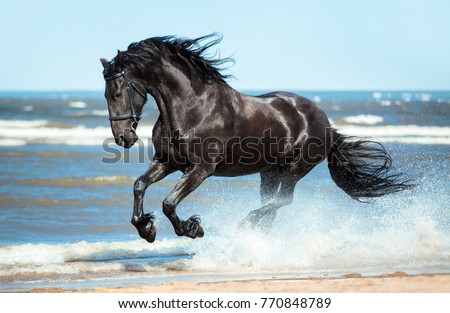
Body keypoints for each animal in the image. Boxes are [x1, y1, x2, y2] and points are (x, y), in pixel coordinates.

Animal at [100, 34, 410, 244]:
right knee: (272, 205)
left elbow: (169, 203)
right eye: (106, 94)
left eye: (118, 92)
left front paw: (192, 228)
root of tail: (326, 123)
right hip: (270, 171)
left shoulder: (200, 169)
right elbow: (139, 186)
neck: (192, 107)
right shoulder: (167, 162)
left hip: (296, 168)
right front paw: (146, 228)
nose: (123, 137)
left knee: (283, 201)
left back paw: (245, 225)